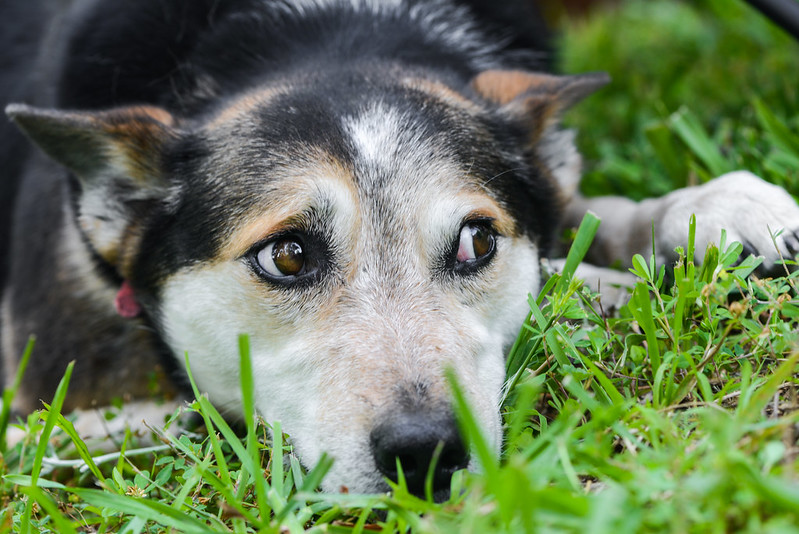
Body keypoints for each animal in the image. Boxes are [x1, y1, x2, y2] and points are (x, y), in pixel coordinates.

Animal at [4, 0, 799, 502]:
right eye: (286, 256)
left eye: (477, 242)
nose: (427, 454)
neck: (330, 31)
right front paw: (611, 285)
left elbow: (580, 216)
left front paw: (713, 210)